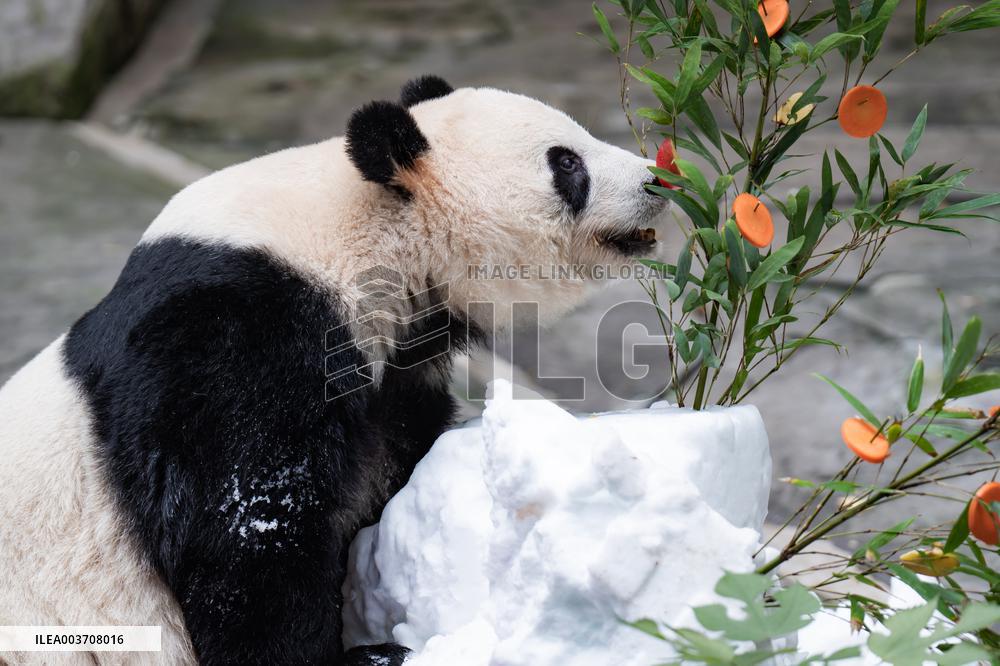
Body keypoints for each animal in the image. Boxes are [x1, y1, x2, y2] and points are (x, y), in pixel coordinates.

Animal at [0, 75, 665, 665]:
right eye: (566, 163)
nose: (656, 181)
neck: (366, 226)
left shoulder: (393, 371)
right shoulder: (233, 340)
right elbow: (249, 532)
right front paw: (367, 656)